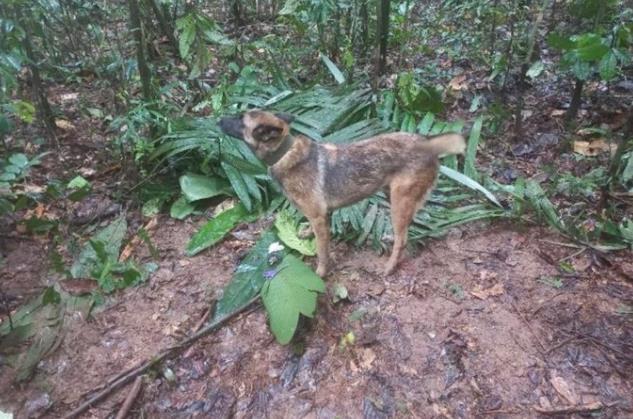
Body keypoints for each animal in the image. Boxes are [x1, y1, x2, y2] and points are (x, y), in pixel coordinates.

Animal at [220, 110, 466, 278]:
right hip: (392, 196)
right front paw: (306, 233)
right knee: (406, 228)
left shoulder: (319, 217)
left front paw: (320, 273)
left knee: (403, 238)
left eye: (240, 119)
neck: (284, 153)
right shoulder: (322, 215)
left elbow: (322, 251)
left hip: (399, 201)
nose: (218, 120)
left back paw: (389, 266)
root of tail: (427, 143)